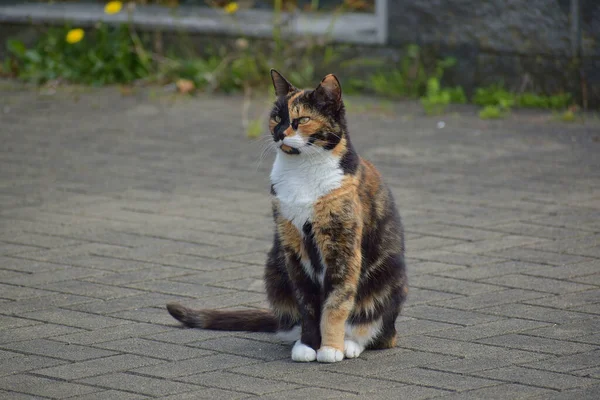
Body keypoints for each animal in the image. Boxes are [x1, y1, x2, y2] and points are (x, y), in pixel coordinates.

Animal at [166, 69, 406, 362]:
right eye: (277, 117)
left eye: (302, 120)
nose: (280, 133)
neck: (303, 171)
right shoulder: (292, 247)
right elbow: (307, 304)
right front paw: (308, 345)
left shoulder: (342, 246)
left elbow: (337, 302)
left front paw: (330, 348)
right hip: (274, 266)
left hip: (388, 278)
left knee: (380, 332)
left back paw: (350, 344)